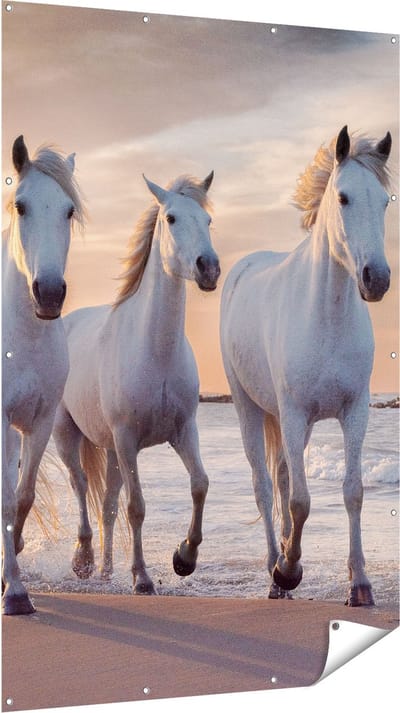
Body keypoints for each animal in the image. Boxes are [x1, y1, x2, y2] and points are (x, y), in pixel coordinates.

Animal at [52, 171, 220, 594]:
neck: (154, 351)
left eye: (208, 220)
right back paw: (83, 560)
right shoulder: (128, 439)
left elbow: (200, 484)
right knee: (81, 486)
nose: (209, 268)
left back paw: (107, 569)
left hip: (111, 451)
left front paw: (184, 558)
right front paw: (142, 577)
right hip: (68, 435)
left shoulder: (183, 431)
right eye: (172, 218)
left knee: (107, 505)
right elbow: (137, 507)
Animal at [220, 126, 392, 606]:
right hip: (249, 408)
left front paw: (360, 584)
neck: (327, 316)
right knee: (264, 486)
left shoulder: (354, 411)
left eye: (385, 201)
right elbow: (300, 501)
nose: (377, 279)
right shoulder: (294, 414)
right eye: (344, 197)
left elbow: (352, 492)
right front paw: (289, 569)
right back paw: (272, 571)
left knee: (280, 477)